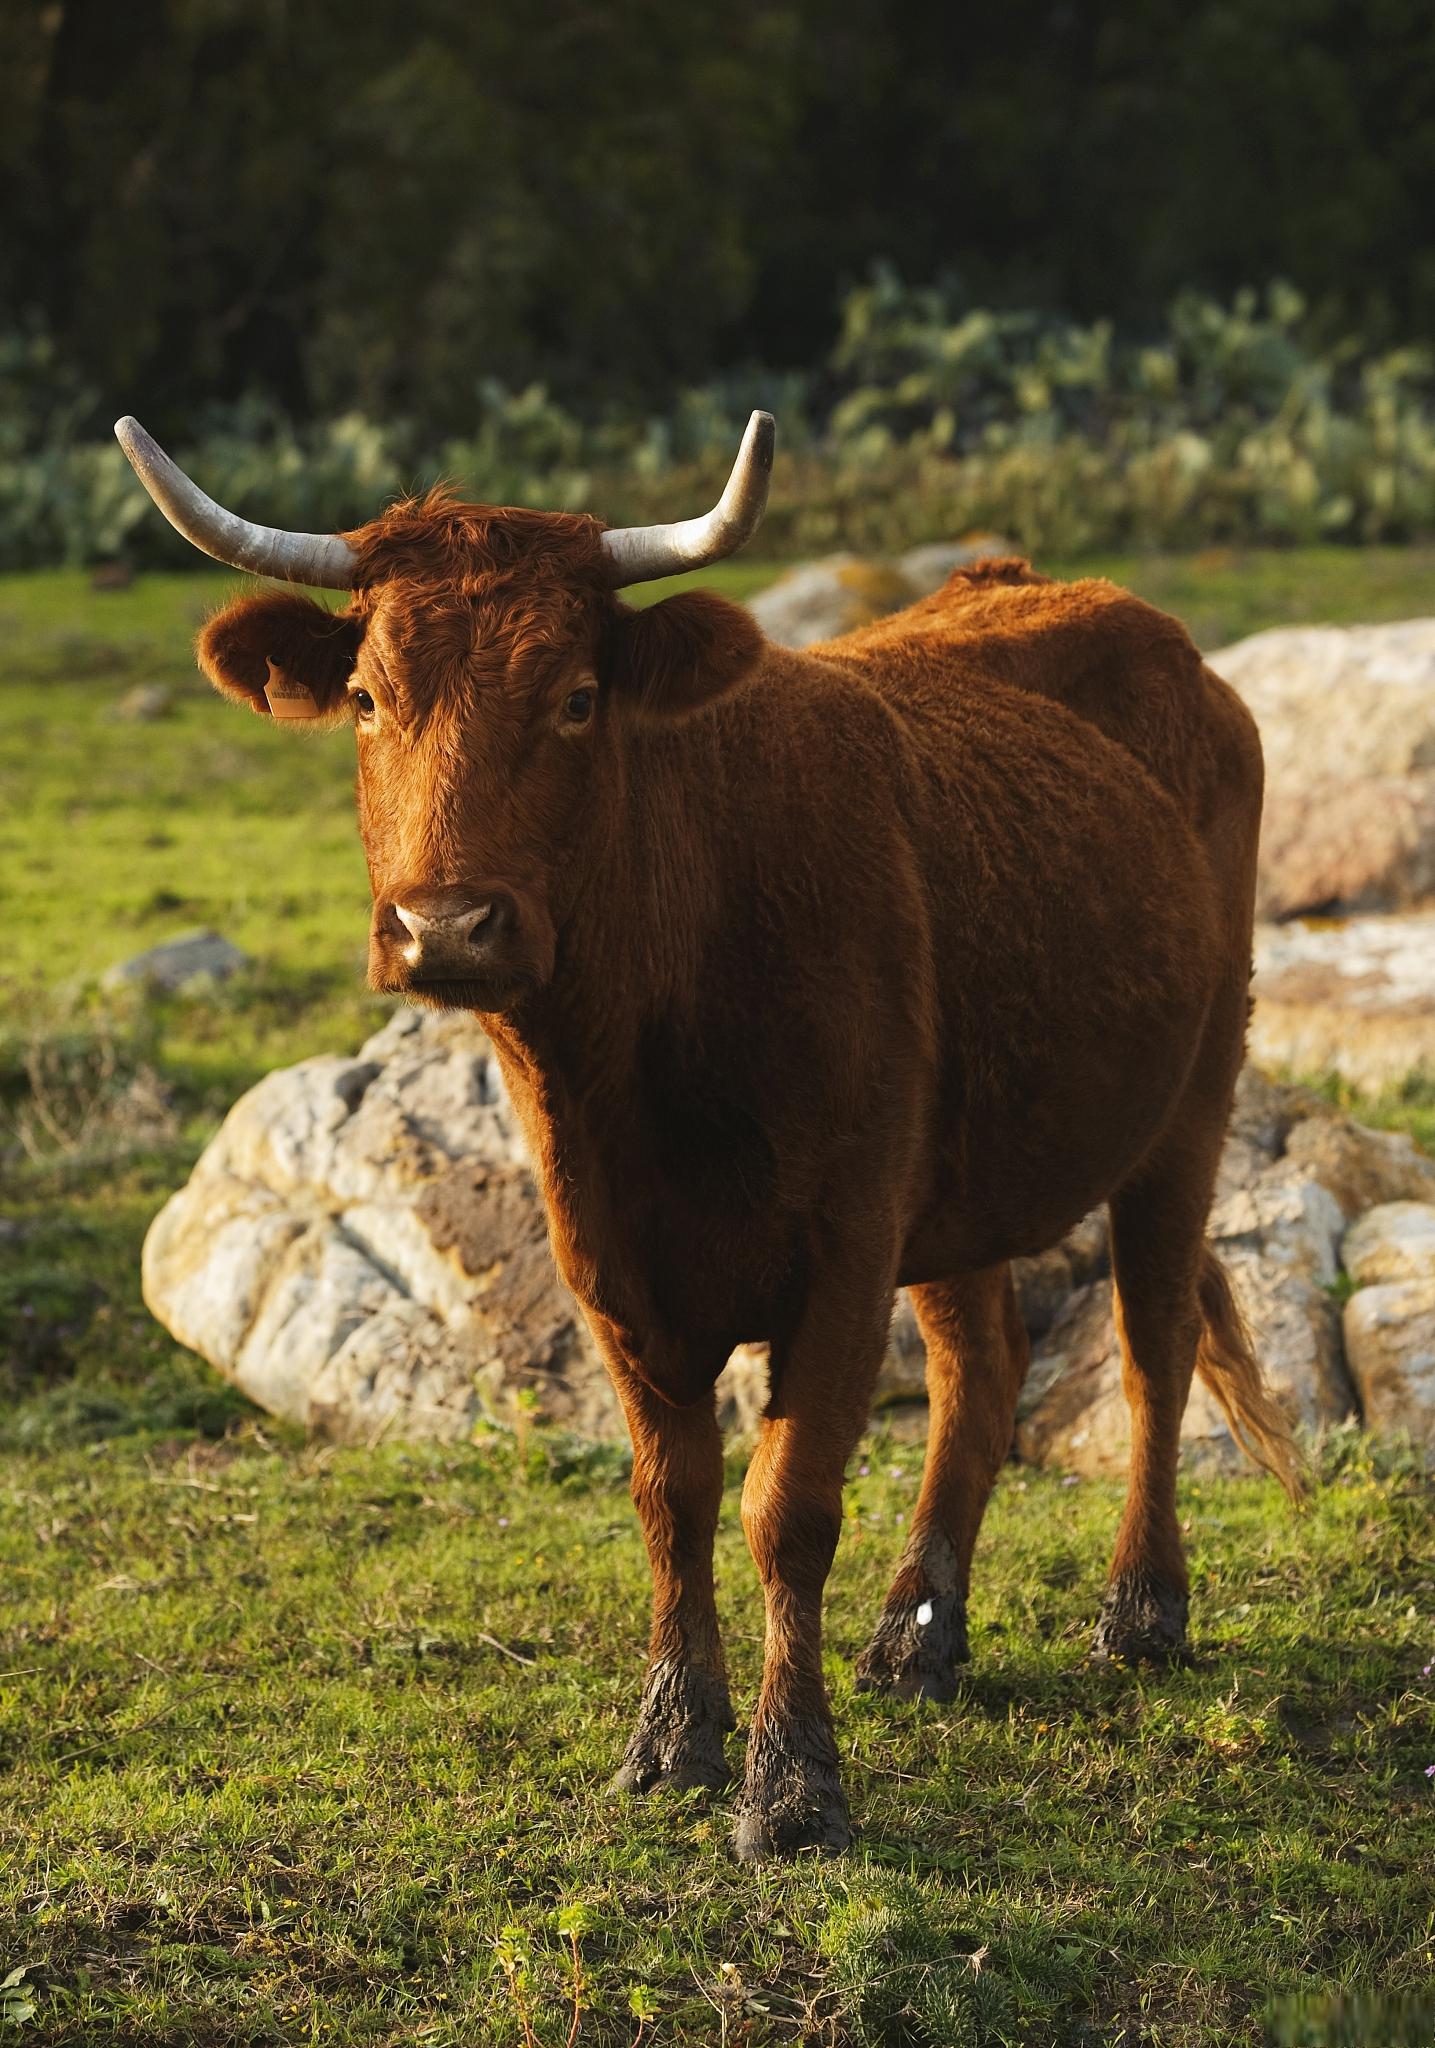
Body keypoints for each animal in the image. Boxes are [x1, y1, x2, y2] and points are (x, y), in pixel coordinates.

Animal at [114, 411, 1301, 1859]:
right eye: (367, 698)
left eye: (576, 697)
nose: (446, 925)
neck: (639, 1071)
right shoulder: (612, 1263)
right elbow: (668, 1493)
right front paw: (673, 1735)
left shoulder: (841, 1251)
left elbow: (783, 1505)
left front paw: (790, 1785)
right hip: (957, 1171)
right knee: (983, 1364)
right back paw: (917, 1633)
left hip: (1190, 1098)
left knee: (1150, 1340)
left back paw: (1140, 1611)